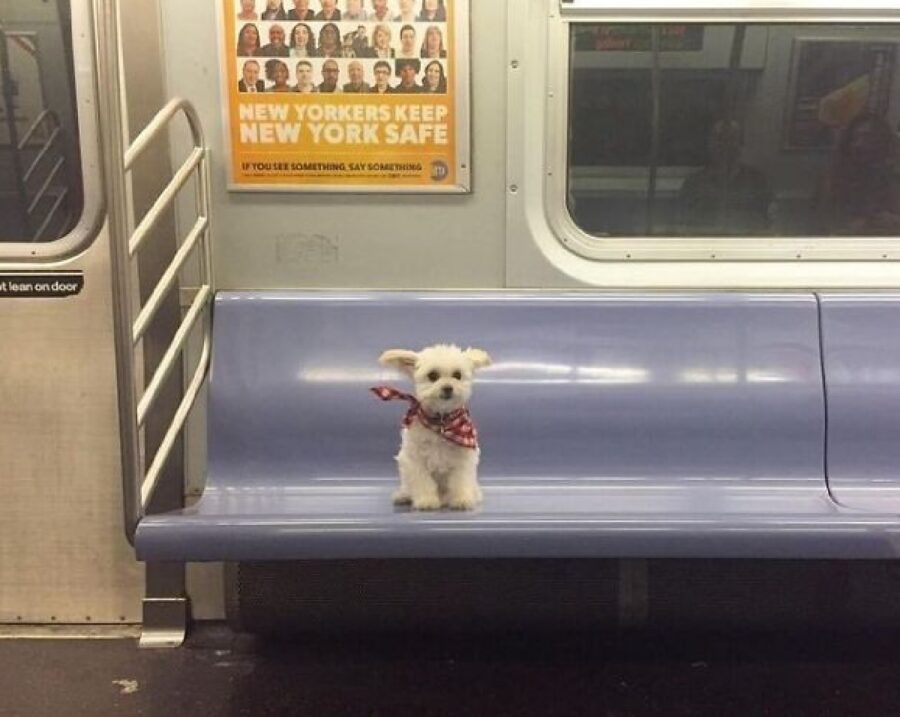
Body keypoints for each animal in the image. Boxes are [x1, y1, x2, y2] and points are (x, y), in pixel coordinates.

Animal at [374, 346, 496, 510]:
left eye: (457, 375)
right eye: (432, 375)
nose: (448, 388)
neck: (442, 423)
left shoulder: (463, 459)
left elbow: (460, 481)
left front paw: (461, 499)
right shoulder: (415, 460)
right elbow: (423, 482)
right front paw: (426, 500)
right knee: (408, 487)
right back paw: (403, 496)